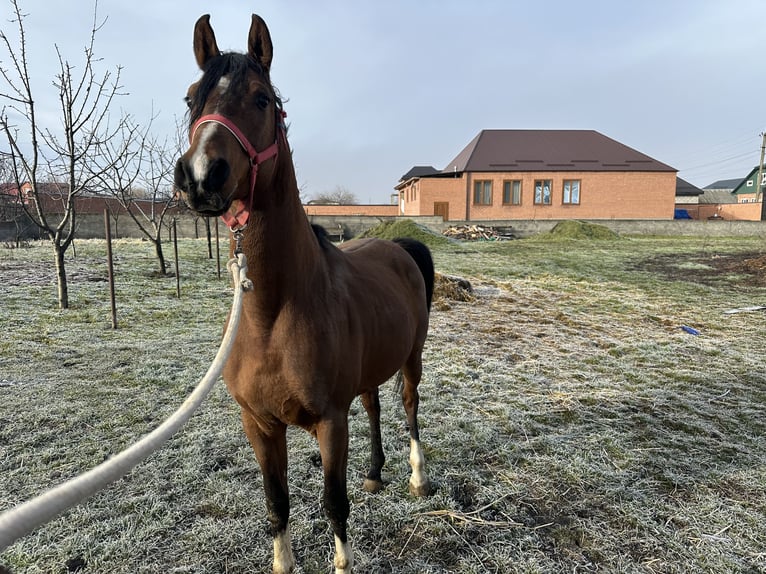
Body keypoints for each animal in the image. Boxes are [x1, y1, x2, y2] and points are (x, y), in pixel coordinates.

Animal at [173, 14, 434, 574]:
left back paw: (417, 477)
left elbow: (334, 503)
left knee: (408, 405)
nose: (202, 175)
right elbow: (277, 503)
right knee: (374, 406)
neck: (272, 316)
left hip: (412, 358)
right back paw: (375, 472)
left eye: (261, 99)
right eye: (190, 99)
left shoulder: (330, 423)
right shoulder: (259, 425)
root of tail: (399, 247)